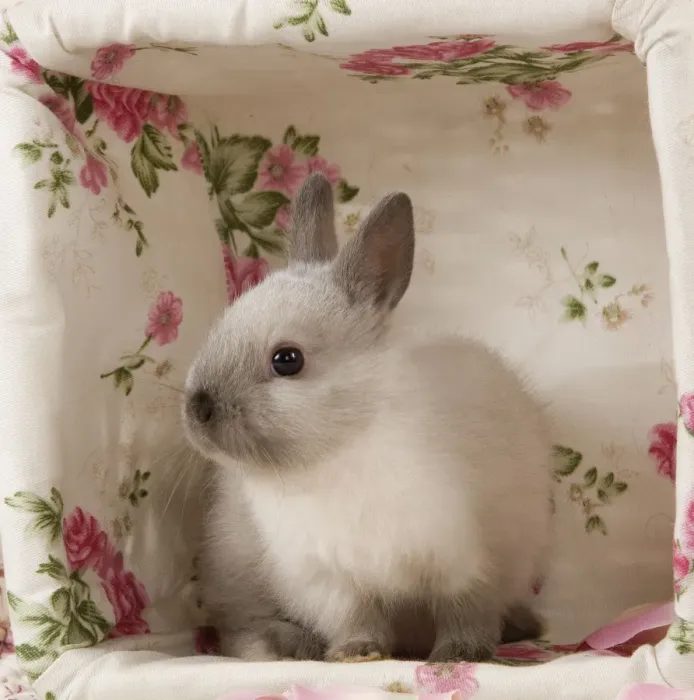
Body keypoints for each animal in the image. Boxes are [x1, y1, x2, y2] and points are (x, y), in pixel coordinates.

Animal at [183, 173, 553, 663]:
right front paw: (357, 654)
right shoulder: (330, 579)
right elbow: (356, 618)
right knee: (240, 629)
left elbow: (464, 613)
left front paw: (458, 654)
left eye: (287, 360)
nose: (197, 408)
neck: (344, 444)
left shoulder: (466, 562)